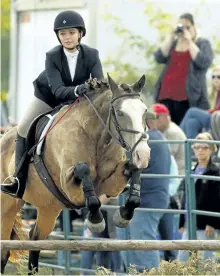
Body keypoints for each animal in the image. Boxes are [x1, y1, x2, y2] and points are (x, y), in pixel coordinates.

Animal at [0, 74, 150, 274]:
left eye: (145, 112)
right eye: (119, 113)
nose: (144, 154)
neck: (97, 136)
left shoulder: (111, 183)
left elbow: (132, 170)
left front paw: (124, 214)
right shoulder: (68, 184)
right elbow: (83, 173)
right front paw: (96, 220)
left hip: (48, 209)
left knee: (34, 240)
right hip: (8, 204)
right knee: (4, 249)